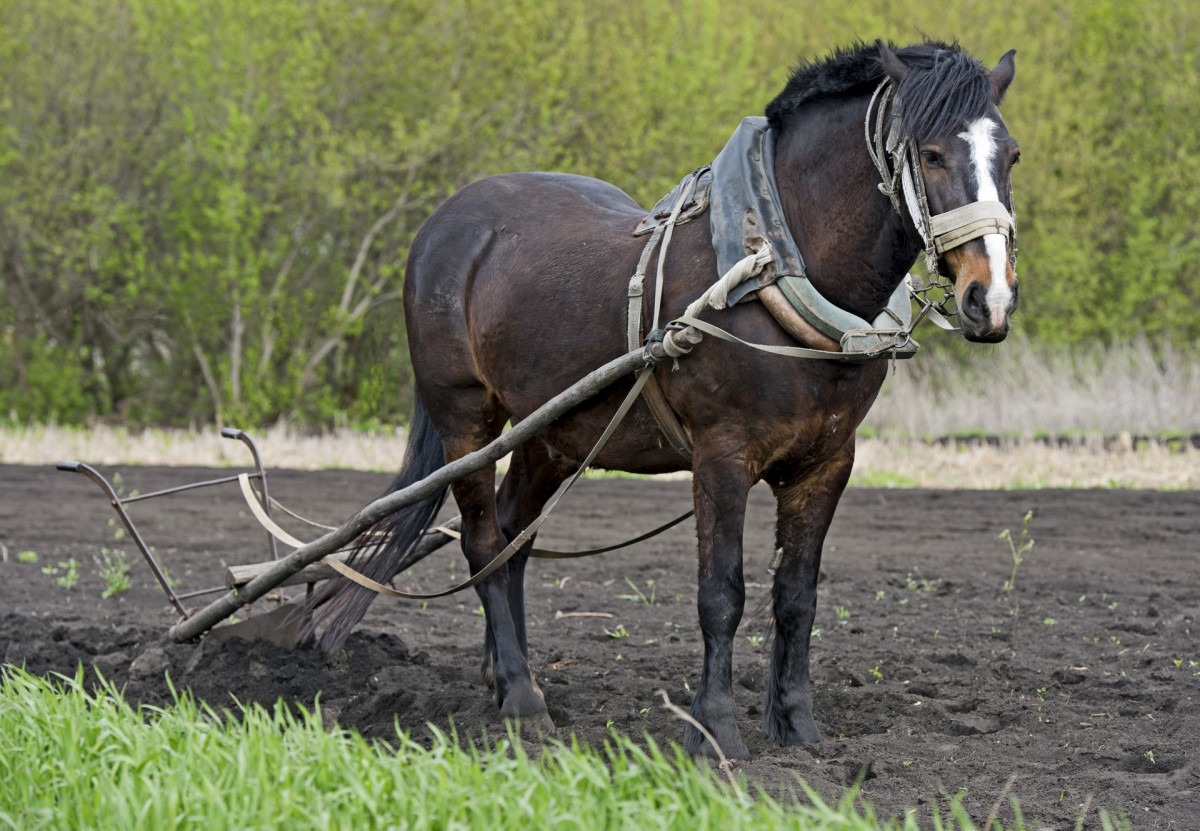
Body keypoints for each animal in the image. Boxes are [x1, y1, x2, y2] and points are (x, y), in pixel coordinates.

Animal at [300, 40, 1022, 758]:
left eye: (1010, 155)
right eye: (931, 153)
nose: (991, 300)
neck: (773, 262)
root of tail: (443, 225)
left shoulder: (826, 462)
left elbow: (797, 596)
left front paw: (797, 727)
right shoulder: (722, 453)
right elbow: (721, 593)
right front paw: (716, 730)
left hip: (552, 433)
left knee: (513, 541)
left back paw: (504, 678)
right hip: (464, 418)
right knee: (482, 545)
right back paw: (524, 699)